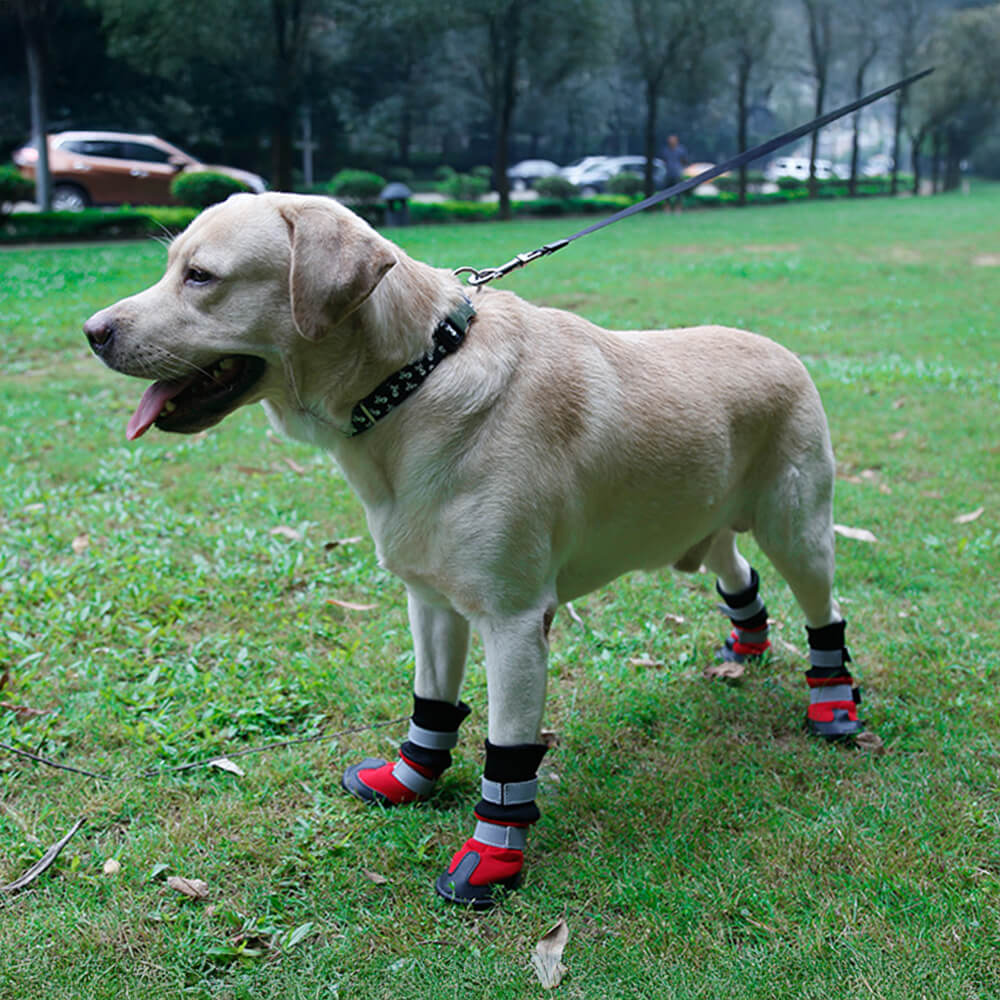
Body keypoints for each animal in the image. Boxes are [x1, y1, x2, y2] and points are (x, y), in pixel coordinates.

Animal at [86, 191, 864, 912]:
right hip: (701, 526)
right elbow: (431, 706)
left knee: (824, 614)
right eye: (170, 265)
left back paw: (833, 706)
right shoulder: (430, 600)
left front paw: (491, 859)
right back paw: (747, 643)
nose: (93, 331)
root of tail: (782, 350)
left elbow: (508, 757)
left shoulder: (514, 622)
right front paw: (407, 780)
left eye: (201, 276)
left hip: (798, 528)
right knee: (738, 572)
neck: (411, 386)